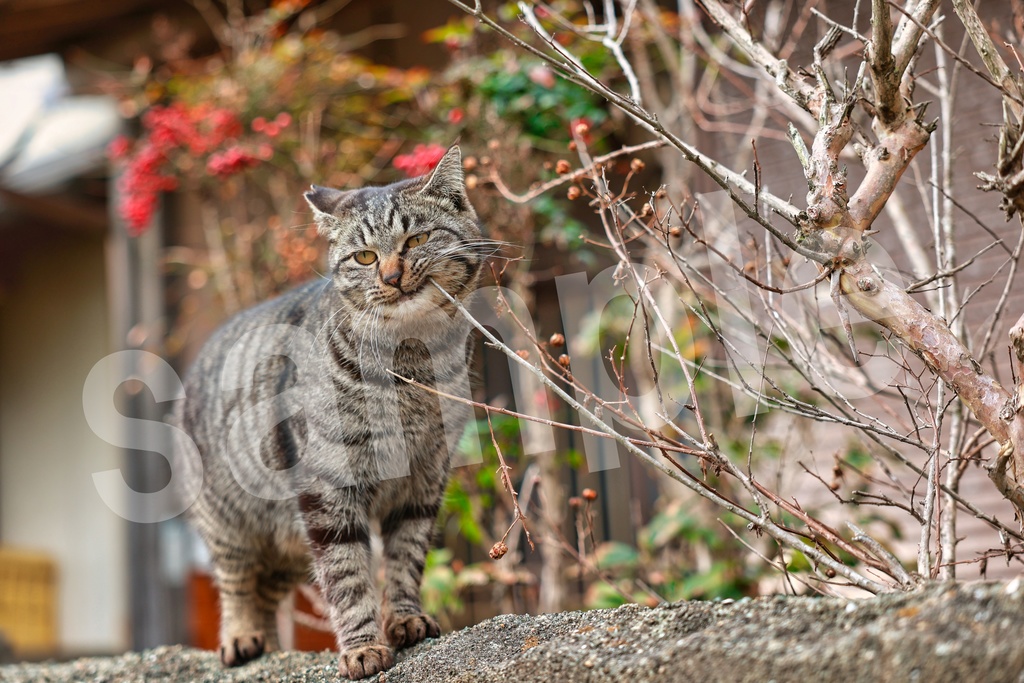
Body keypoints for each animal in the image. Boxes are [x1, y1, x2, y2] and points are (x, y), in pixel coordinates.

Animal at [178, 147, 485, 679]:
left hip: (285, 543)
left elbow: (405, 558)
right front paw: (363, 648)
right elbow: (348, 576)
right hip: (229, 520)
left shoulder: (424, 480)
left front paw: (405, 620)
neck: (413, 362)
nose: (391, 276)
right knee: (237, 583)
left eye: (417, 239)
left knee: (266, 591)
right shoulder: (327, 491)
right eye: (364, 257)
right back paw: (240, 638)